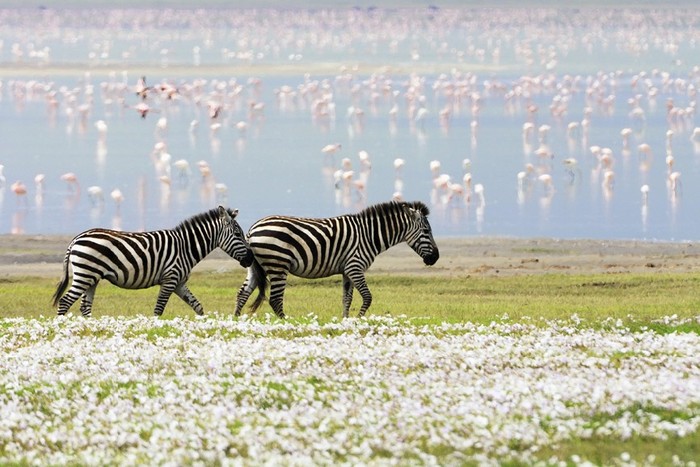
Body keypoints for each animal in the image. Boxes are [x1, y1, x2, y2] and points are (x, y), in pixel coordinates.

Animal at [52, 206, 254, 318]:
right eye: (238, 234)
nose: (251, 259)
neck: (185, 247)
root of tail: (76, 238)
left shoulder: (179, 282)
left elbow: (197, 306)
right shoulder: (170, 279)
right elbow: (158, 309)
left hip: (91, 277)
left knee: (85, 307)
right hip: (85, 274)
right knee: (65, 302)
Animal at [235, 199, 438, 320]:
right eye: (426, 231)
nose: (435, 258)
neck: (369, 235)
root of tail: (252, 229)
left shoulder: (347, 270)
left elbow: (346, 298)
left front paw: (345, 320)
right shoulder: (355, 266)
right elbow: (367, 297)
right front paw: (359, 319)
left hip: (254, 265)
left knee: (243, 293)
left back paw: (236, 320)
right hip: (278, 264)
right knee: (275, 299)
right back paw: (287, 322)